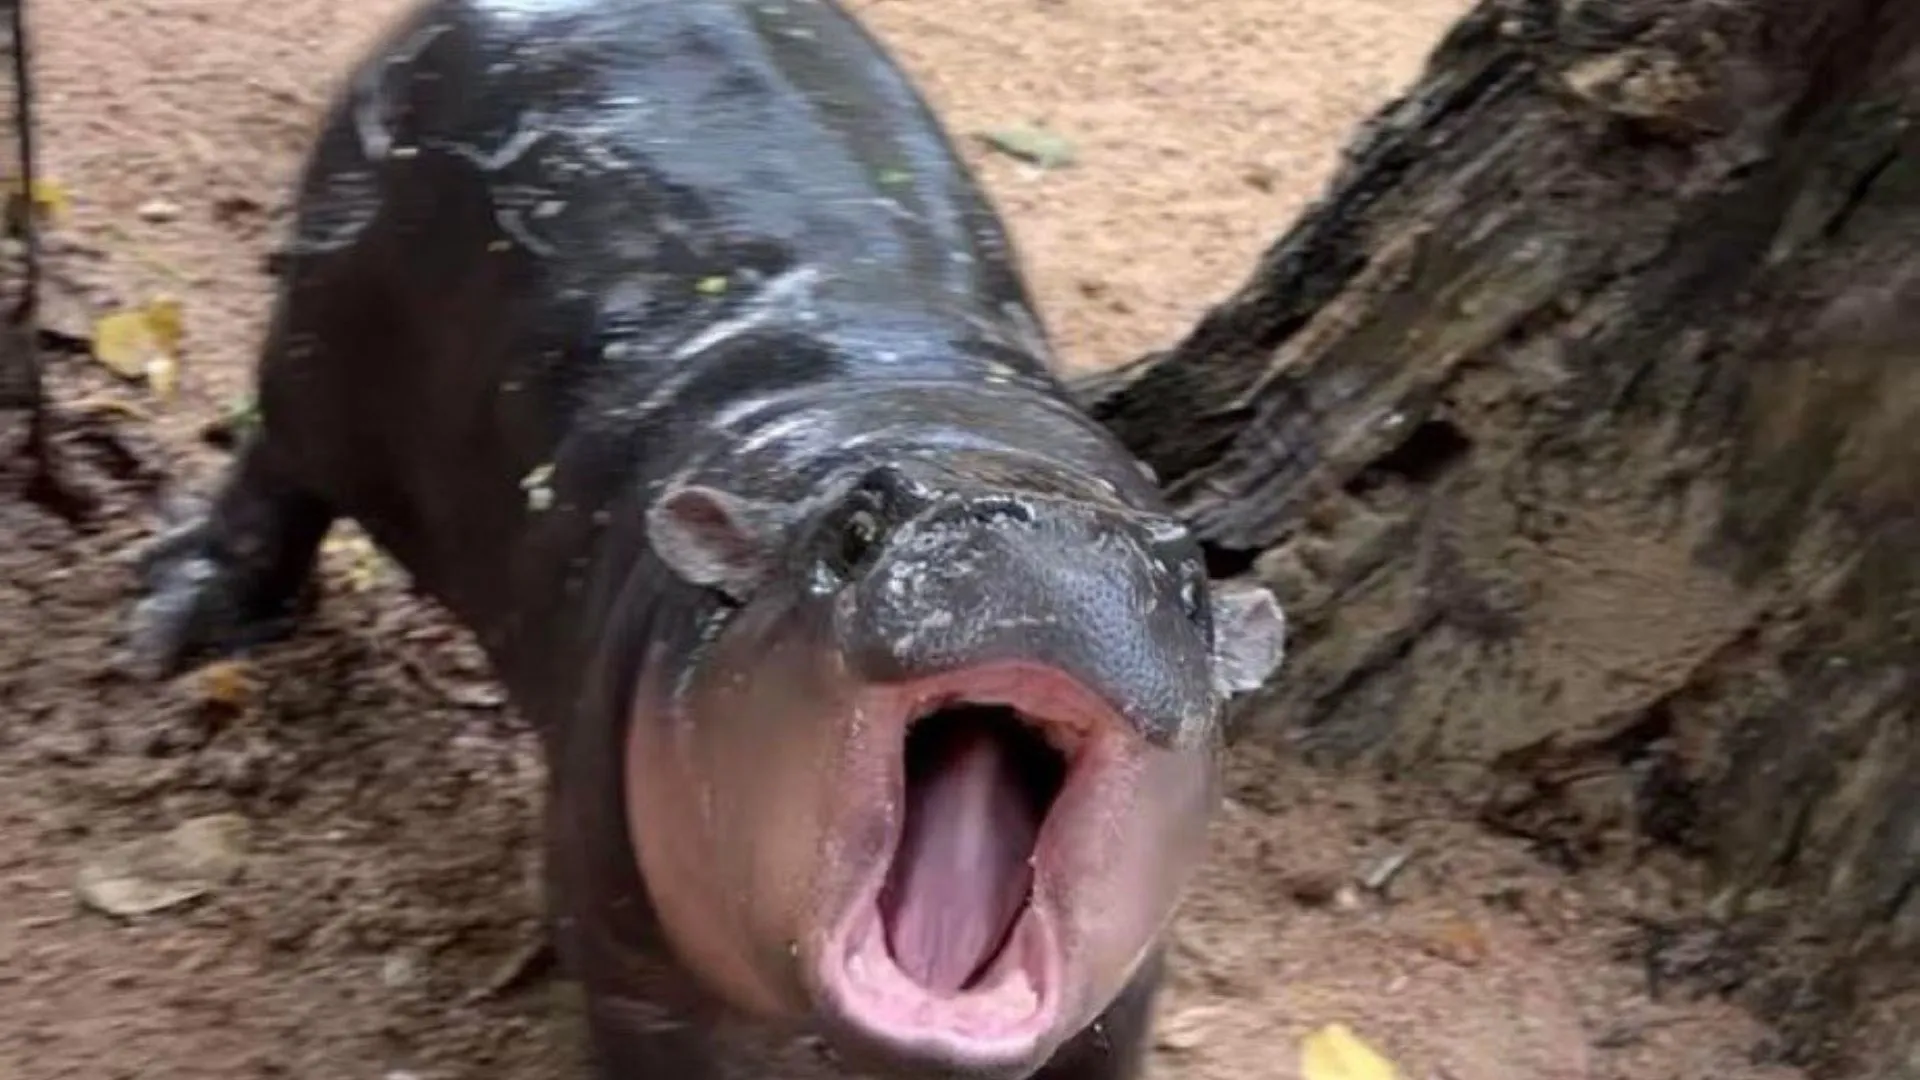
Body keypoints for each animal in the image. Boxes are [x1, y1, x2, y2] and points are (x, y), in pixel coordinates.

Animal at [123, 0, 1290, 1068]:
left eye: (1191, 585)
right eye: (854, 528)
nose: (1047, 545)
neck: (961, 426)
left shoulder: (1121, 998)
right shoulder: (633, 954)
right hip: (317, 344)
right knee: (275, 469)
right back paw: (175, 626)